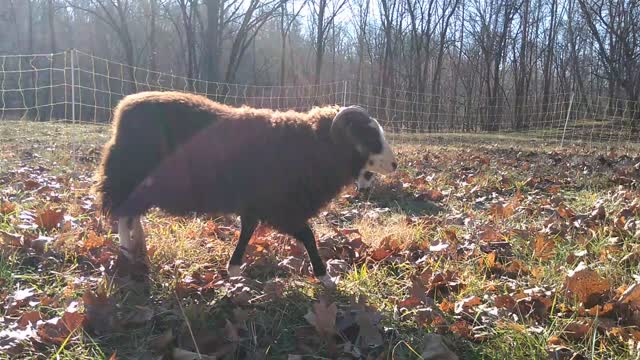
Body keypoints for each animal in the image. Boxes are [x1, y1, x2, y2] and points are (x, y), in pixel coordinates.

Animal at [93, 91, 398, 288]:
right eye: (370, 136)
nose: (395, 164)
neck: (310, 146)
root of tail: (122, 110)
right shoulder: (281, 208)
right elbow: (308, 236)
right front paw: (325, 277)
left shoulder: (257, 204)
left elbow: (248, 230)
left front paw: (235, 269)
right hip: (128, 178)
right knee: (124, 215)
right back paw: (127, 254)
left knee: (131, 215)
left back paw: (139, 248)